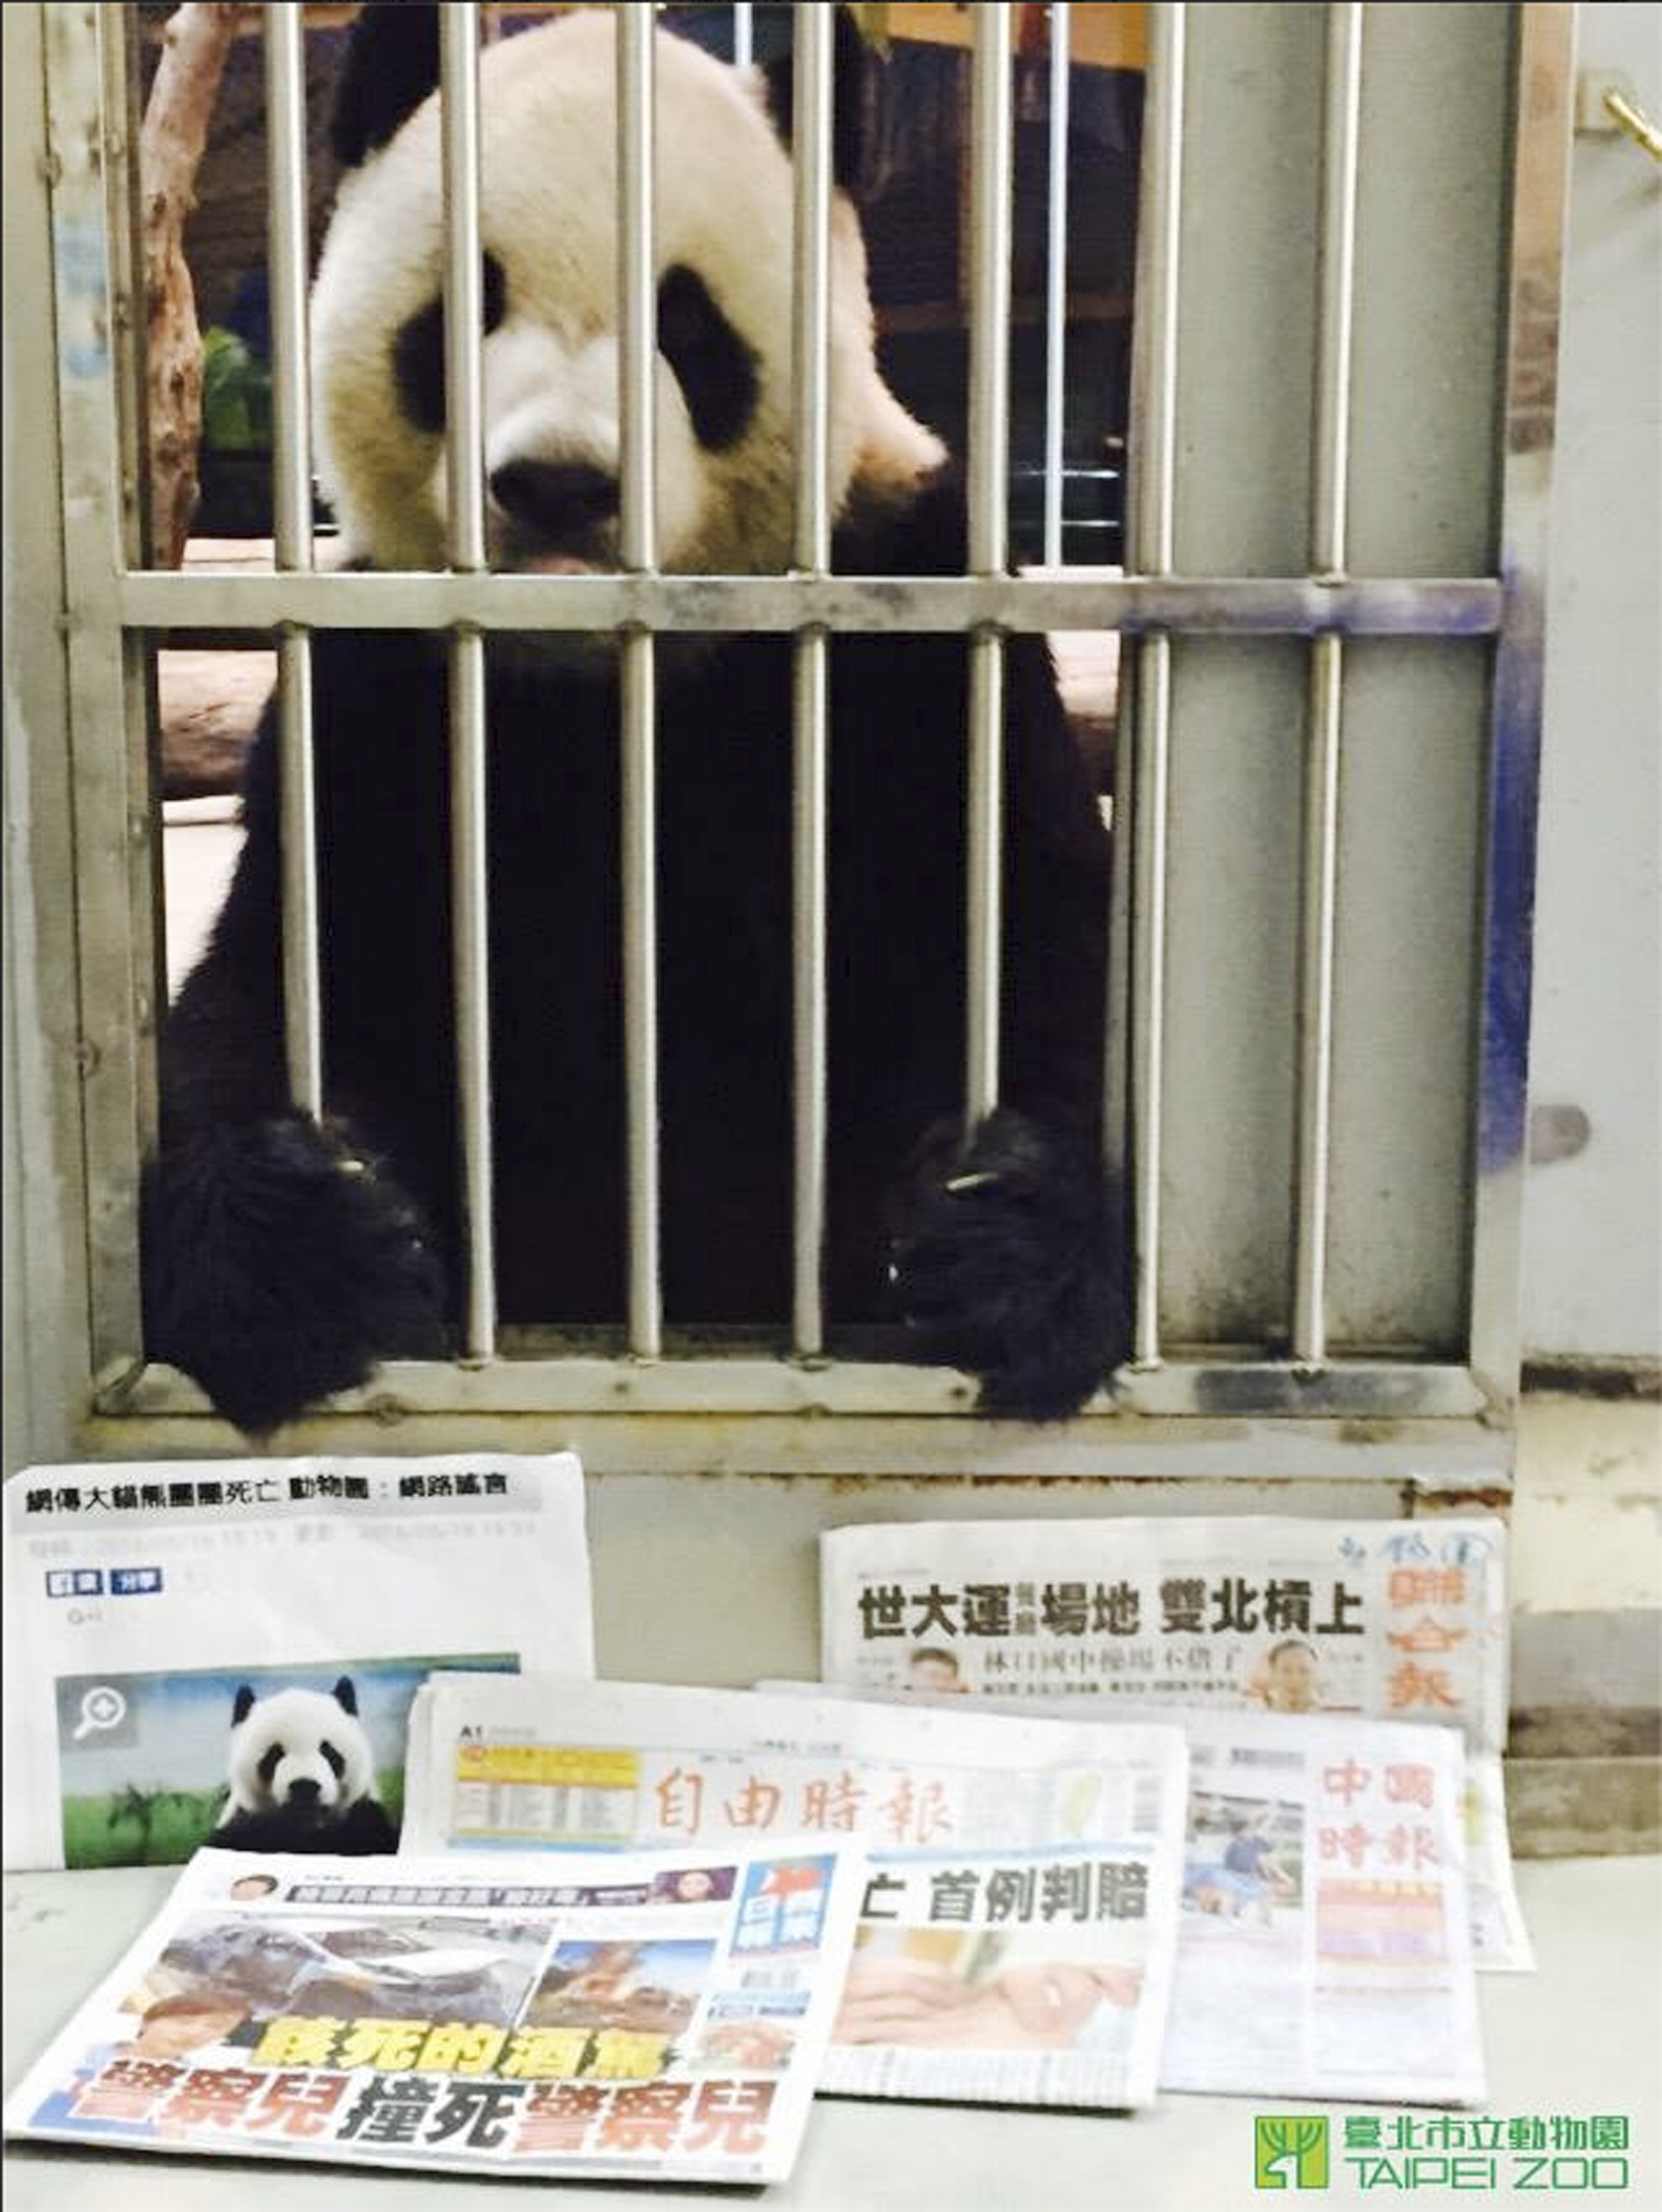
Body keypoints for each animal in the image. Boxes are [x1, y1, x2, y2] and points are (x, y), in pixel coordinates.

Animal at [146, 3, 1125, 1436]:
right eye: (465, 312)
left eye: (689, 328)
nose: (558, 487)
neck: (600, 673)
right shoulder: (372, 683)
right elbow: (283, 974)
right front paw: (302, 1249)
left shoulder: (911, 626)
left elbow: (1029, 941)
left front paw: (996, 1243)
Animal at [209, 1677, 400, 1854]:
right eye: (275, 1754)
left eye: (327, 1750)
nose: (305, 1786)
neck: (306, 1829)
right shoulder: (242, 1829)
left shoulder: (365, 1819)